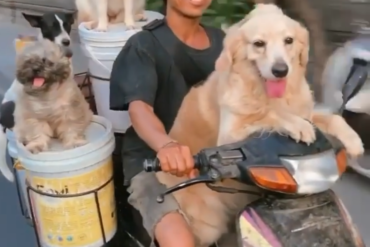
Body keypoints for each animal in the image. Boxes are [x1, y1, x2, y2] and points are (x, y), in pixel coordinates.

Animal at [156, 4, 364, 247]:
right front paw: (299, 127)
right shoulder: (230, 132)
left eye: (288, 40)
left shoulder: (307, 112)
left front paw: (353, 141)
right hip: (207, 224)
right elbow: (268, 114)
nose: (280, 70)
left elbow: (333, 118)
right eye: (258, 44)